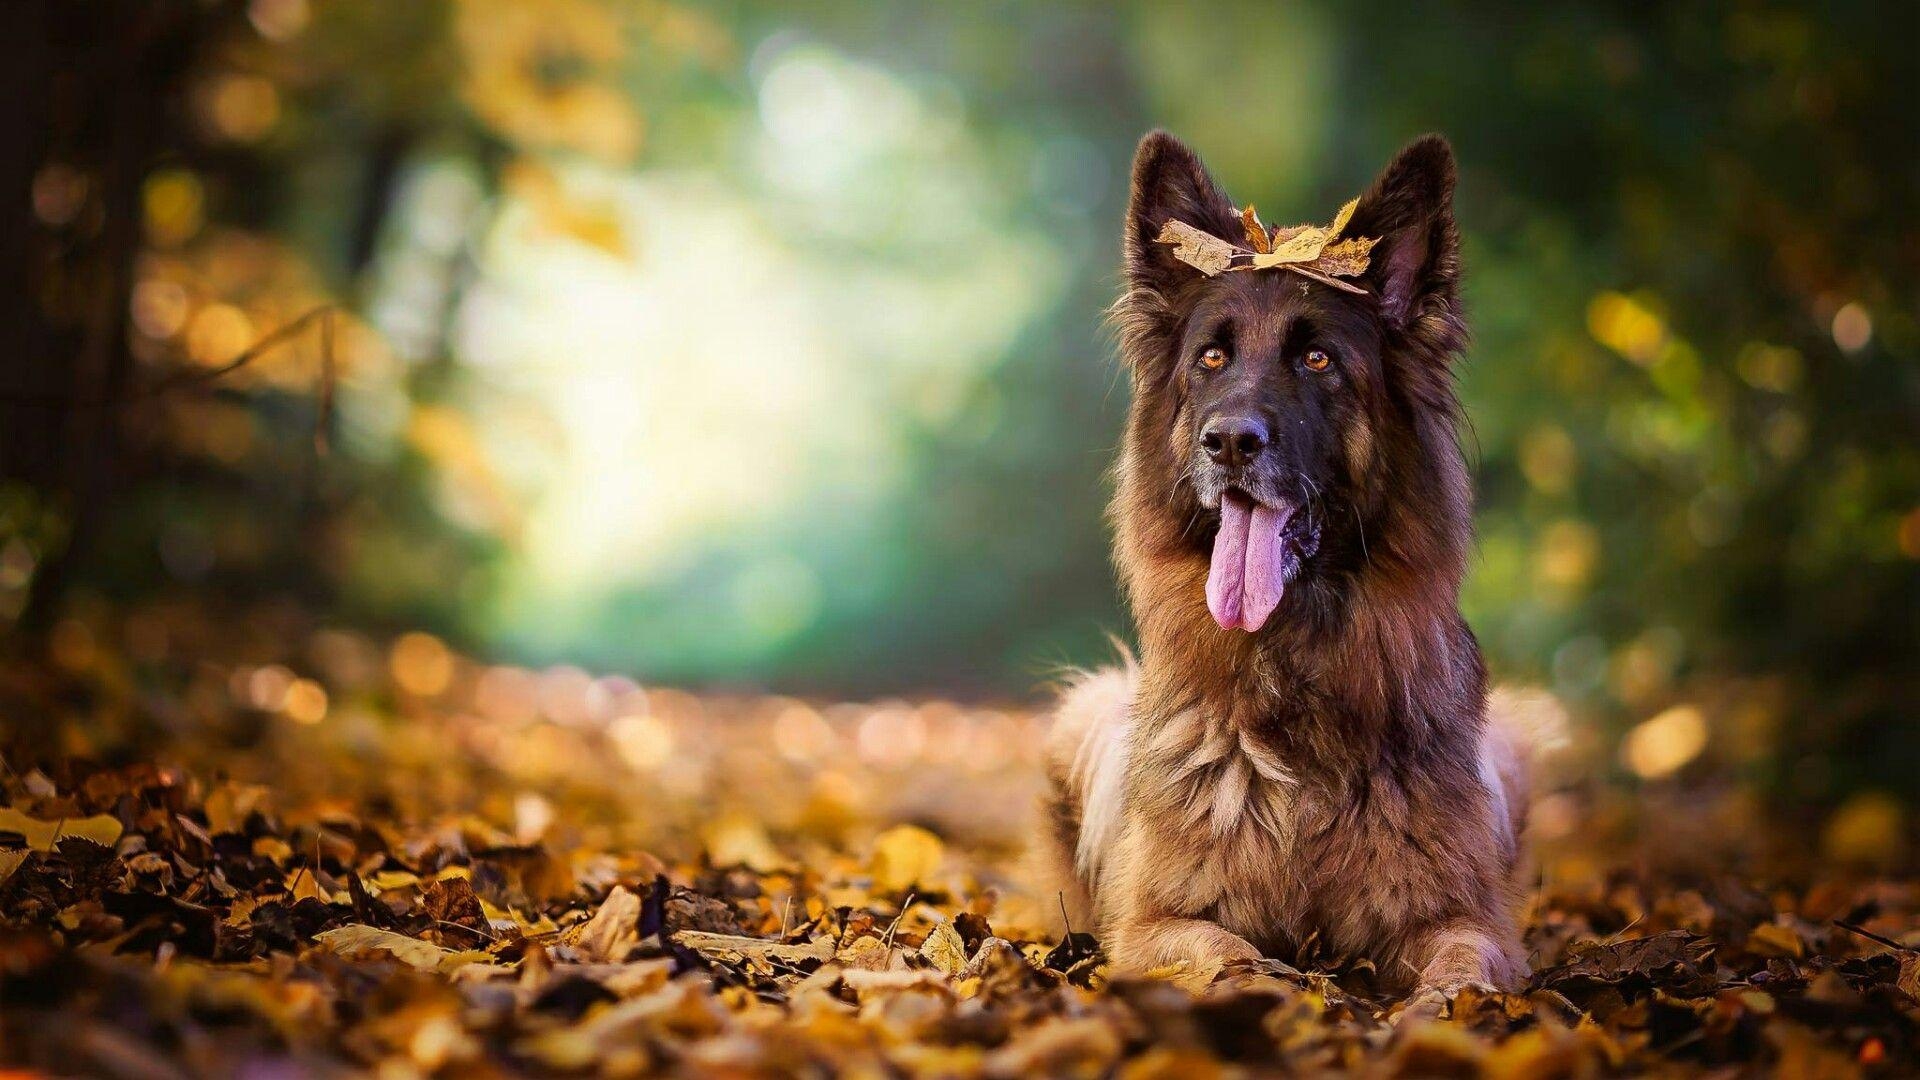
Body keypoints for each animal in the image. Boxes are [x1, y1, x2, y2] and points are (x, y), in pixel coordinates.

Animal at [1044, 132, 1536, 991]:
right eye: (1211, 358)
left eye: (1317, 361)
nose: (1231, 442)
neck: (1296, 674)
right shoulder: (1152, 927)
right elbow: (1232, 956)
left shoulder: (1466, 917)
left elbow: (1464, 964)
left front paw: (1449, 1007)